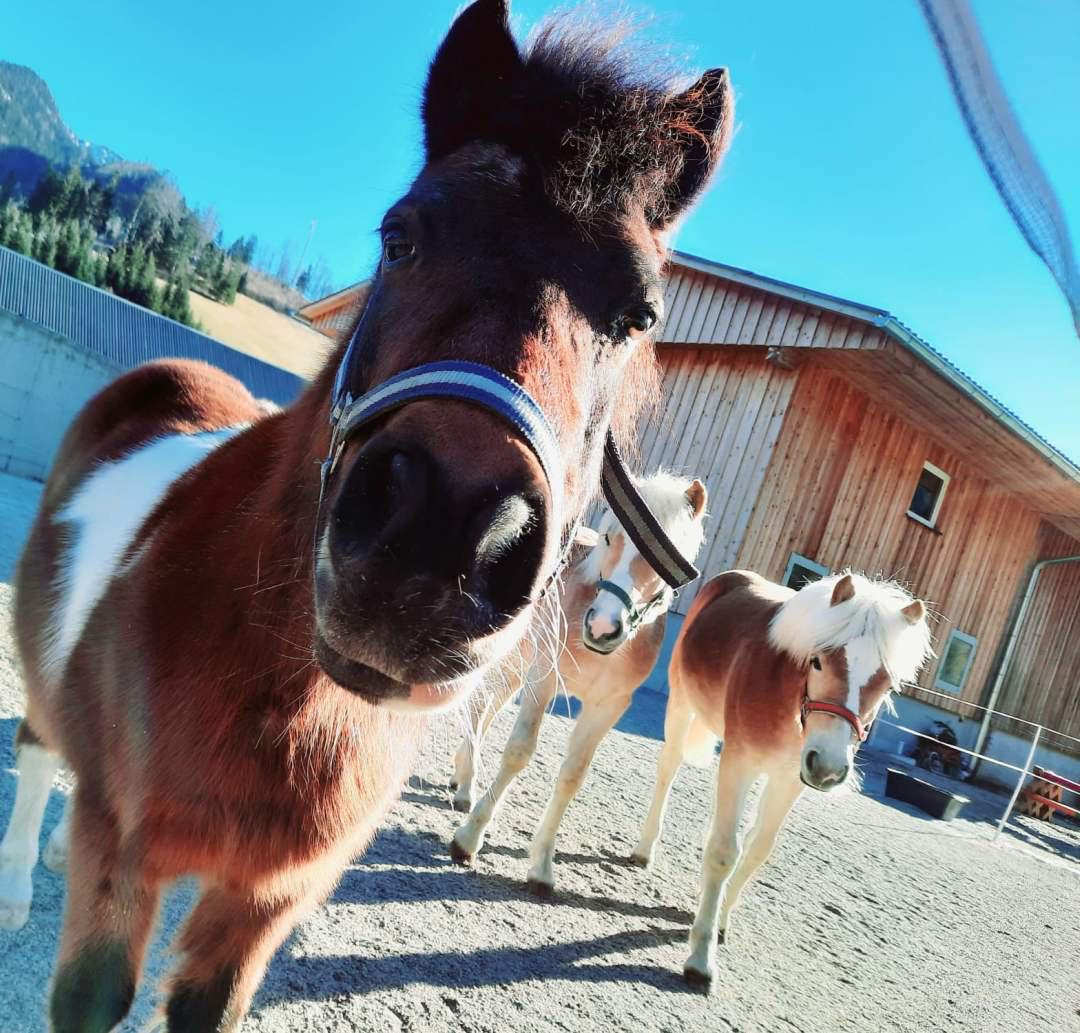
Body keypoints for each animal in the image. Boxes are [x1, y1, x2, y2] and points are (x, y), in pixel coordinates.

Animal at [447, 471, 708, 890]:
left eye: (674, 555)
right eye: (609, 537)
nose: (603, 627)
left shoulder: (608, 706)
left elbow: (573, 775)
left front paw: (541, 866)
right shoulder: (542, 681)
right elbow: (518, 752)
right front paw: (469, 839)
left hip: (516, 669)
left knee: (486, 711)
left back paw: (463, 782)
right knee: (476, 709)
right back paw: (467, 787)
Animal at [635, 570, 933, 989]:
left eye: (887, 684)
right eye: (819, 662)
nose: (828, 766)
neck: (789, 695)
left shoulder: (790, 780)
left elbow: (758, 849)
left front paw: (719, 918)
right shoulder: (739, 761)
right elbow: (724, 851)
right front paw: (701, 957)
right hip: (681, 705)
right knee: (668, 770)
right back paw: (644, 849)